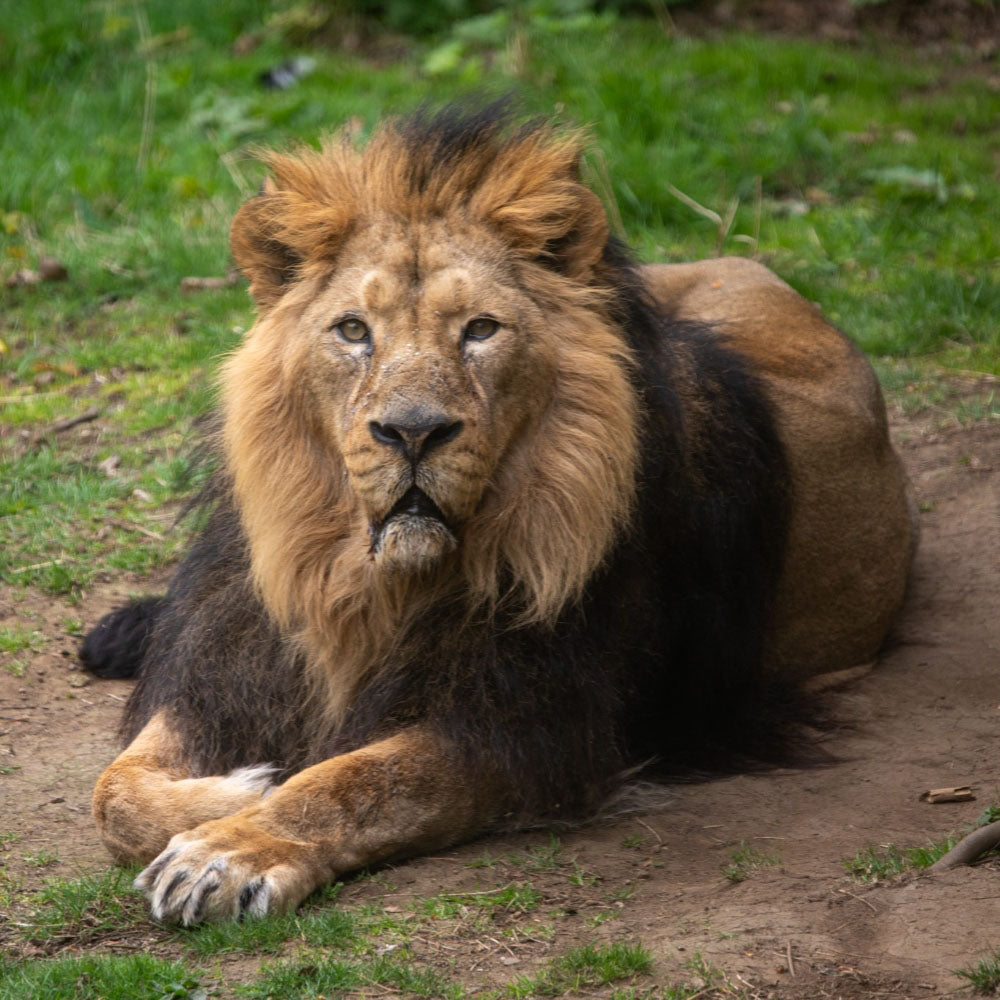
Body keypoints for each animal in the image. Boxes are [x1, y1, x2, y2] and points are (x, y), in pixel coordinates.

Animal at [82, 104, 916, 925]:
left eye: (480, 329)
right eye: (353, 330)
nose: (413, 432)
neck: (363, 584)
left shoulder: (526, 728)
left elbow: (352, 783)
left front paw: (233, 847)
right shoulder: (226, 670)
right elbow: (112, 792)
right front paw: (236, 789)